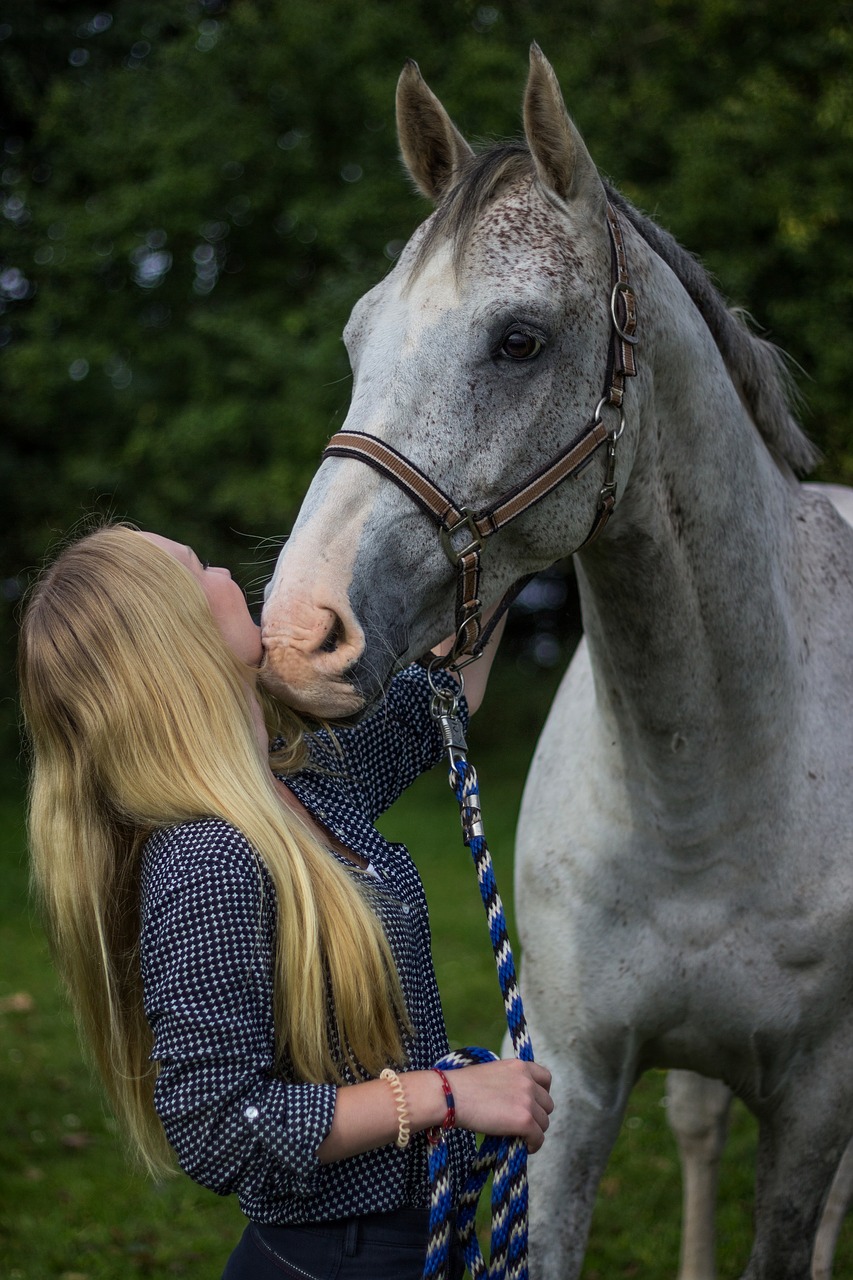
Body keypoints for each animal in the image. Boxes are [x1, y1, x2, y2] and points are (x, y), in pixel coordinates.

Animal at [262, 47, 850, 1280]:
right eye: (356, 338)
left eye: (520, 339)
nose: (298, 632)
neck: (713, 785)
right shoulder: (569, 1079)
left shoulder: (817, 1098)